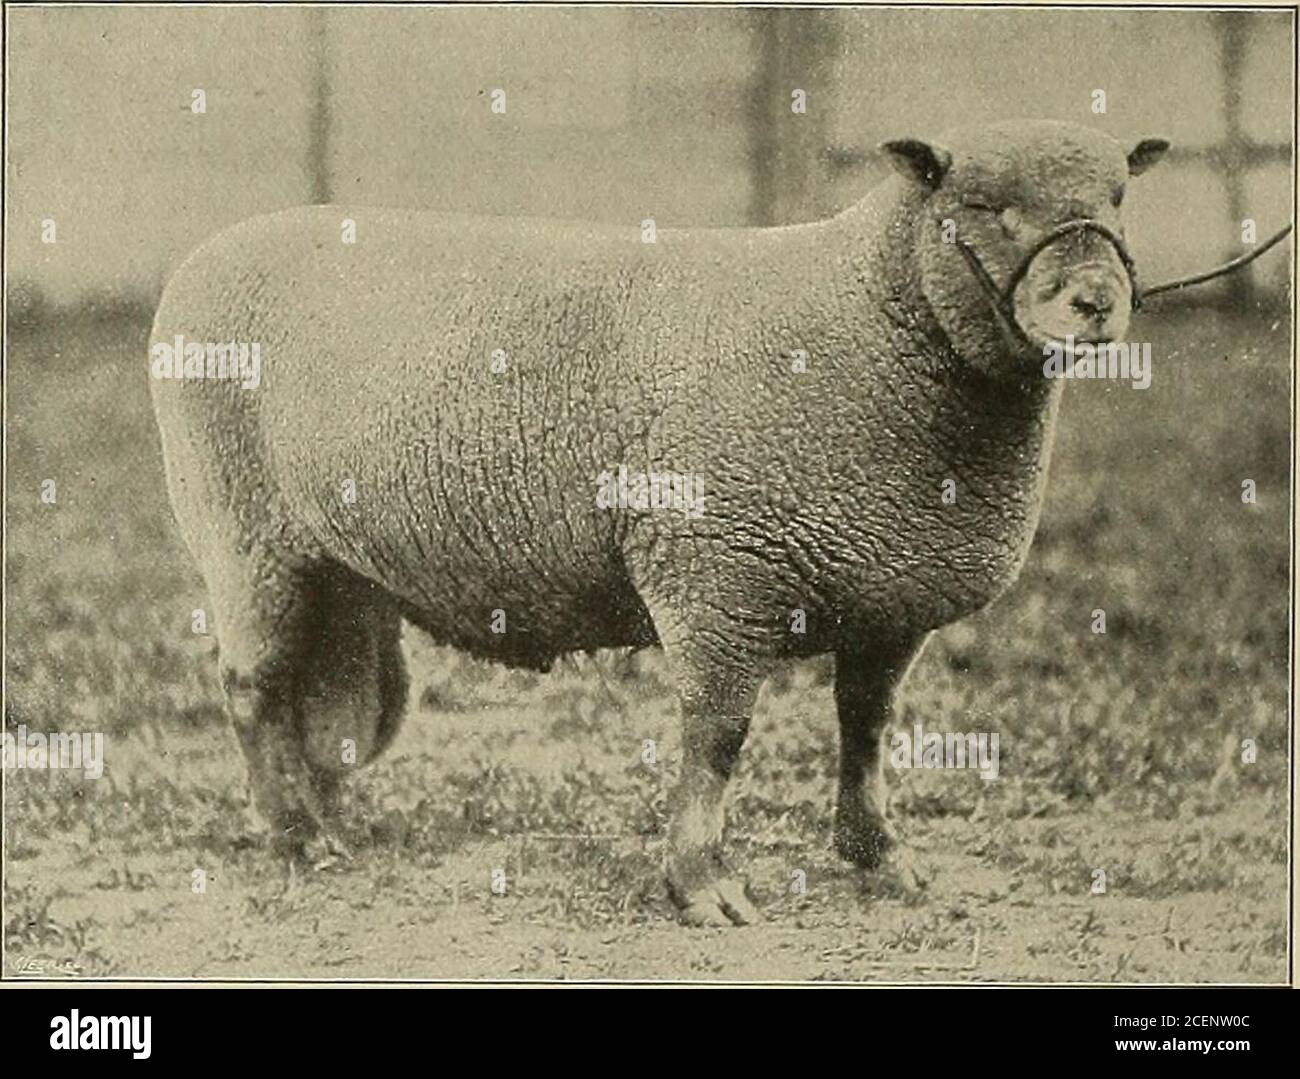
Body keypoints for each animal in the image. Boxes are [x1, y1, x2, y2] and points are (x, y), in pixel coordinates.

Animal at [149, 118, 1170, 930]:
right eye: (990, 205)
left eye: (1121, 199)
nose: (1095, 301)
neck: (869, 309)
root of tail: (202, 256)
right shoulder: (718, 567)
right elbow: (717, 735)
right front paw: (700, 884)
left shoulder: (887, 592)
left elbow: (867, 727)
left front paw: (879, 855)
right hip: (244, 529)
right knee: (251, 688)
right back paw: (297, 838)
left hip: (336, 565)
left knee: (314, 696)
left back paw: (319, 819)